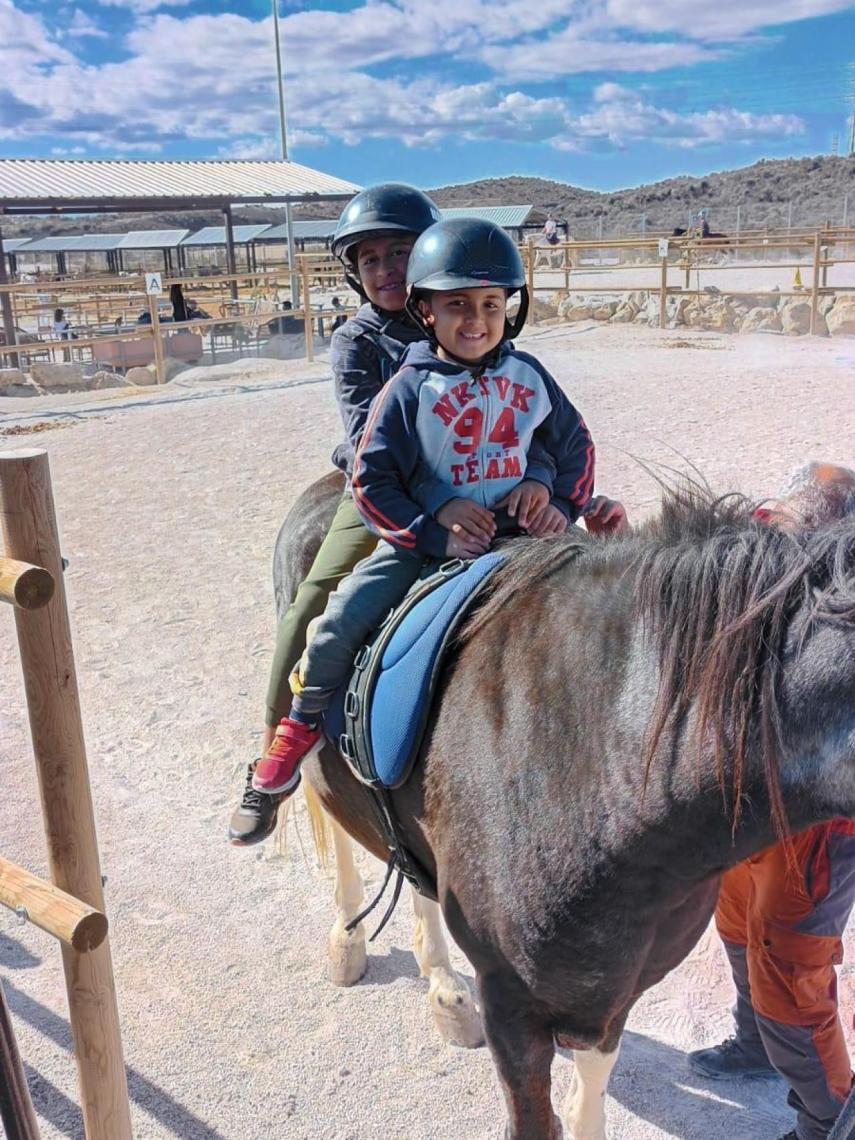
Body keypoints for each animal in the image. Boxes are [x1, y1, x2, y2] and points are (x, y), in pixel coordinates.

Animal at [272, 474, 855, 1140]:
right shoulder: (512, 1003)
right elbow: (534, 1115)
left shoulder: (615, 988)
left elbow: (589, 1092)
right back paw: (348, 940)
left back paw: (444, 990)